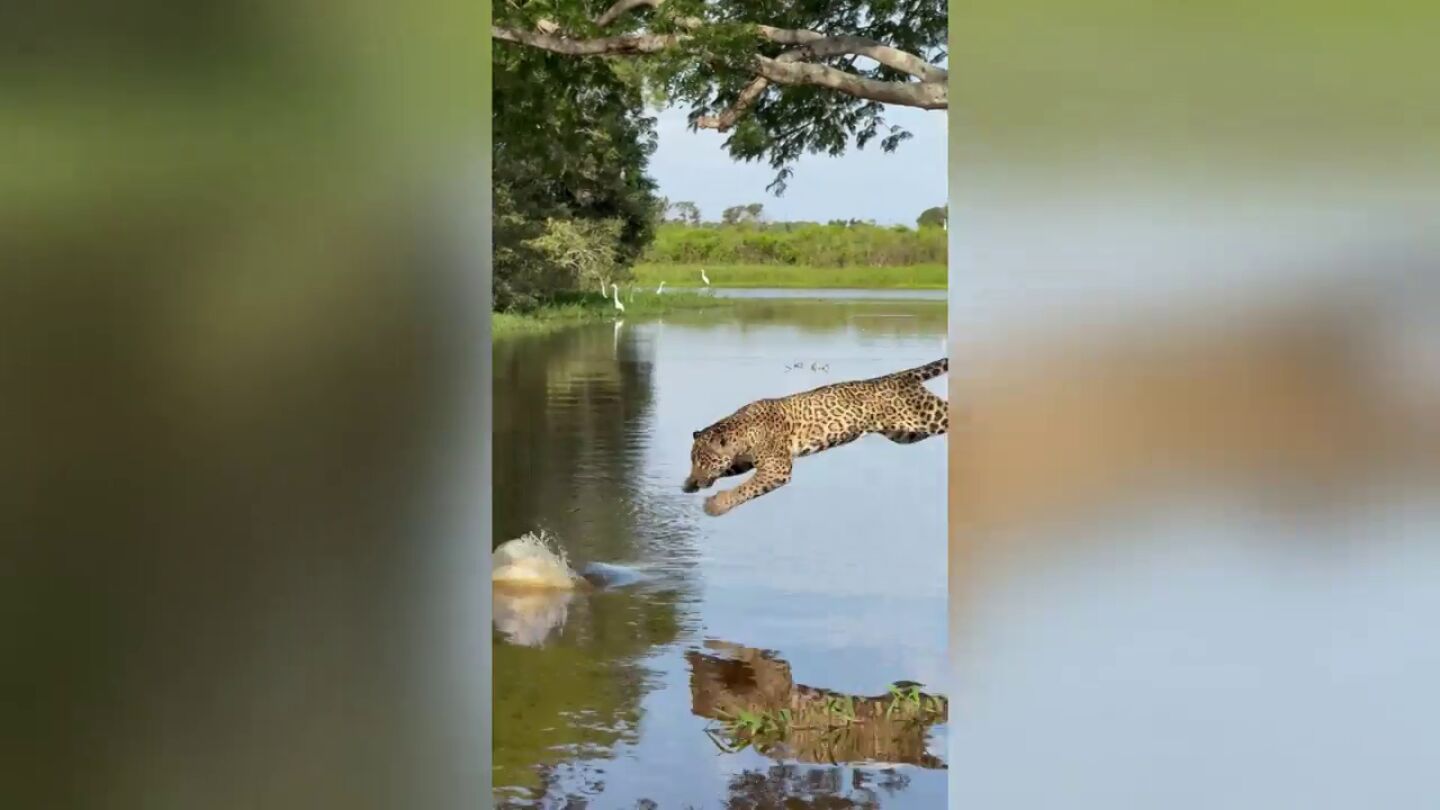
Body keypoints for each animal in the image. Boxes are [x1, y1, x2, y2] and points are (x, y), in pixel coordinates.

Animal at [681, 358, 949, 516]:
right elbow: (731, 472)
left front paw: (716, 505)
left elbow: (746, 489)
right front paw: (691, 483)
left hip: (929, 416)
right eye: (694, 461)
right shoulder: (744, 462)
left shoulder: (776, 469)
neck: (742, 433)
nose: (694, 480)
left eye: (704, 461)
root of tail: (902, 376)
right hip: (906, 434)